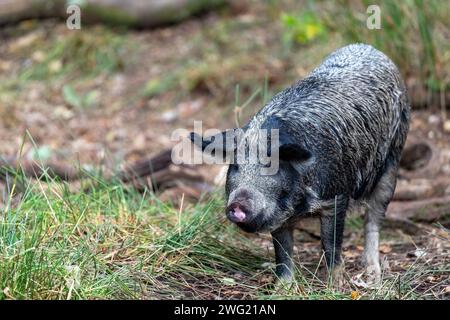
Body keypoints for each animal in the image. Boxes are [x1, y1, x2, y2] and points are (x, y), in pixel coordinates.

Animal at [188, 43, 410, 282]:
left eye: (270, 166)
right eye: (235, 166)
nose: (237, 204)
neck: (300, 203)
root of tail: (369, 48)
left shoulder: (336, 198)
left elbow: (331, 245)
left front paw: (335, 283)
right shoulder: (278, 217)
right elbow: (283, 253)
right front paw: (281, 286)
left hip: (393, 161)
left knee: (373, 220)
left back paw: (372, 274)